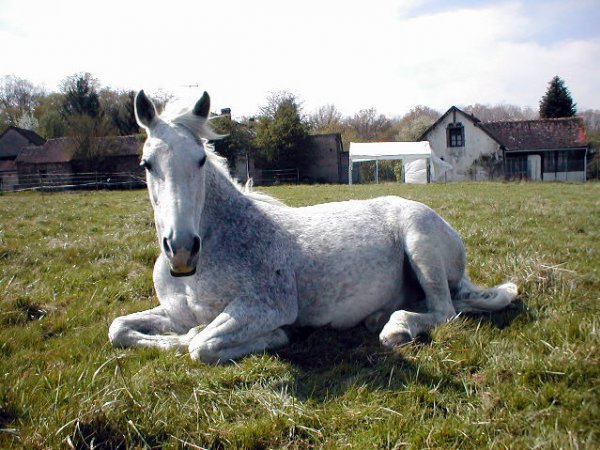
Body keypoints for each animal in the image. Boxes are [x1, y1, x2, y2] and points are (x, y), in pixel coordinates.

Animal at [109, 89, 520, 364]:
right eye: (146, 164)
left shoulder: (265, 306)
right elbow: (119, 328)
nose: (181, 251)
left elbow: (200, 345)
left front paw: (276, 336)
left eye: (199, 160)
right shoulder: (175, 314)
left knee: (446, 310)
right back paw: (378, 318)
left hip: (421, 245)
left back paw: (395, 328)